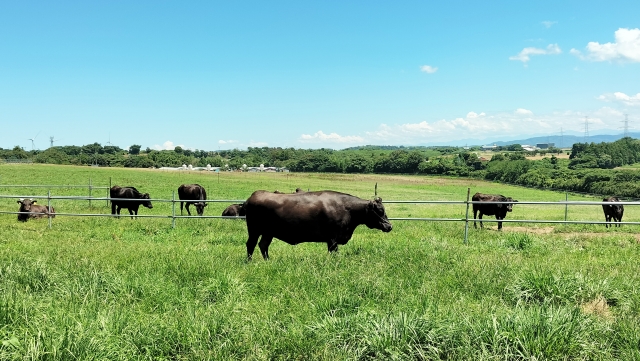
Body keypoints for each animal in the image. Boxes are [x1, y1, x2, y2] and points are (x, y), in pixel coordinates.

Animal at [242, 190, 392, 260]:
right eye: (380, 211)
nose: (389, 226)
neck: (347, 209)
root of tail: (254, 195)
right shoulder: (332, 239)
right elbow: (334, 253)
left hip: (268, 232)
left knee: (263, 245)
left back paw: (268, 260)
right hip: (254, 230)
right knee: (251, 244)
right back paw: (250, 261)